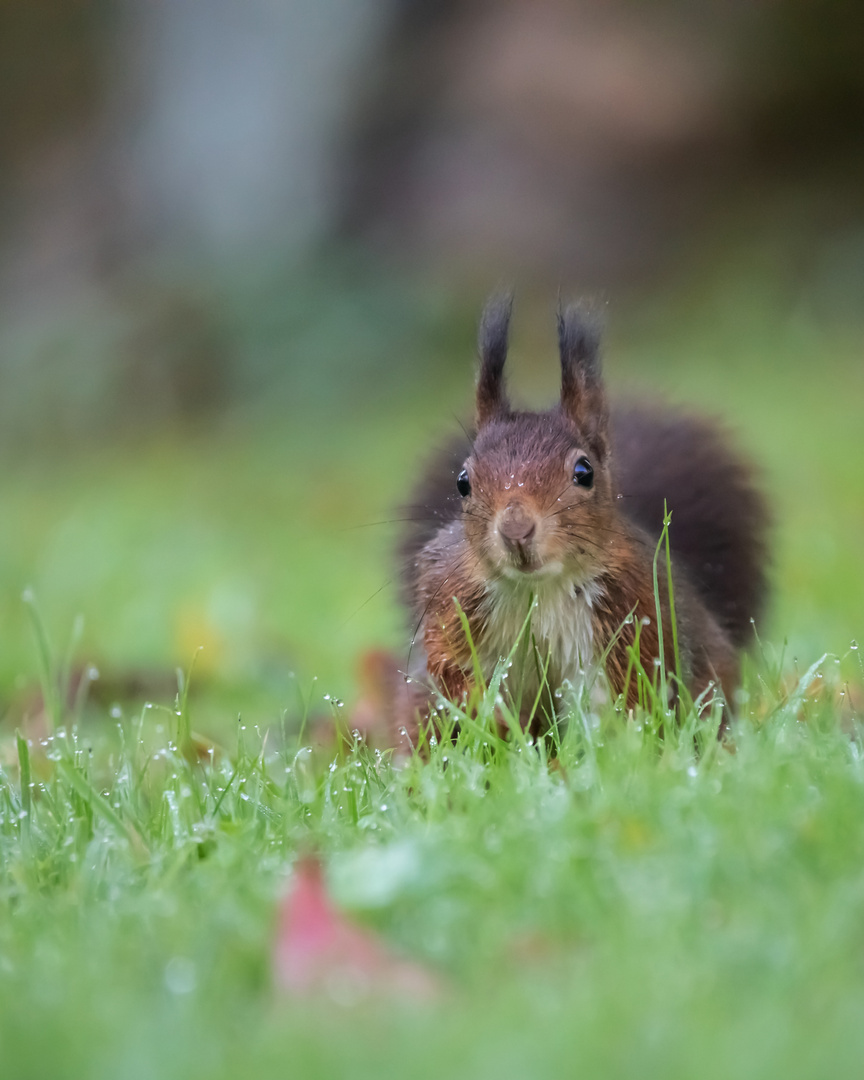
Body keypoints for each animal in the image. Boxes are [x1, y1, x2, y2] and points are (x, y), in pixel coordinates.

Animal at [397, 295, 768, 743]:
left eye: (584, 472)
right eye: (463, 481)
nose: (516, 531)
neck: (537, 590)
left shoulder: (636, 617)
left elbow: (624, 697)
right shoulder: (448, 599)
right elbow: (449, 667)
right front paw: (488, 717)